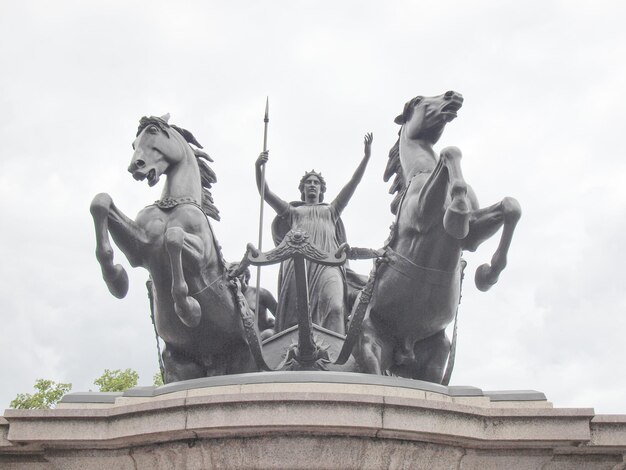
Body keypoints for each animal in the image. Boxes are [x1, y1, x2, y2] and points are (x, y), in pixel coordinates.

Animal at [89, 115, 255, 384]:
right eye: (134, 142)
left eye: (153, 131)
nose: (136, 167)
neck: (172, 204)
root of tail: (214, 361)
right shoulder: (139, 249)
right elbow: (101, 201)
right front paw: (116, 279)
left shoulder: (200, 258)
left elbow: (173, 238)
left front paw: (188, 310)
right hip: (179, 365)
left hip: (245, 360)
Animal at [354, 91, 520, 382]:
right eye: (418, 100)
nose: (453, 95)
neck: (423, 171)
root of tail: (404, 350)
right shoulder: (422, 215)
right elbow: (450, 151)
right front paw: (456, 210)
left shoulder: (472, 236)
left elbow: (511, 206)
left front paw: (487, 274)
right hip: (369, 344)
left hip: (437, 356)